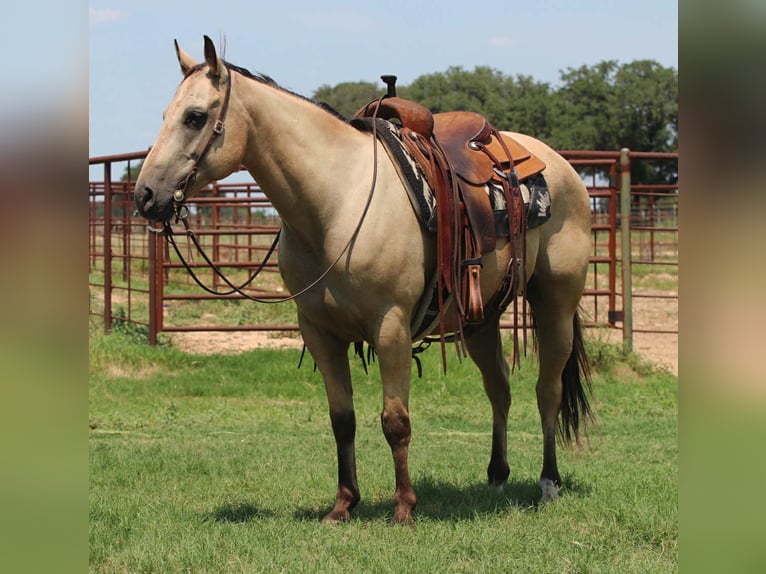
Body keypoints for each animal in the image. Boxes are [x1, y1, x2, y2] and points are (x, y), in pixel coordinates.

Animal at [134, 36, 593, 525]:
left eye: (195, 116)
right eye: (165, 114)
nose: (145, 195)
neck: (337, 202)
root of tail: (558, 165)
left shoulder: (390, 327)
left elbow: (395, 420)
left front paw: (404, 507)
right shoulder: (318, 331)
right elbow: (342, 419)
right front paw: (343, 504)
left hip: (555, 304)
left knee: (547, 389)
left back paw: (549, 483)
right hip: (481, 317)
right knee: (499, 389)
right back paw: (497, 474)